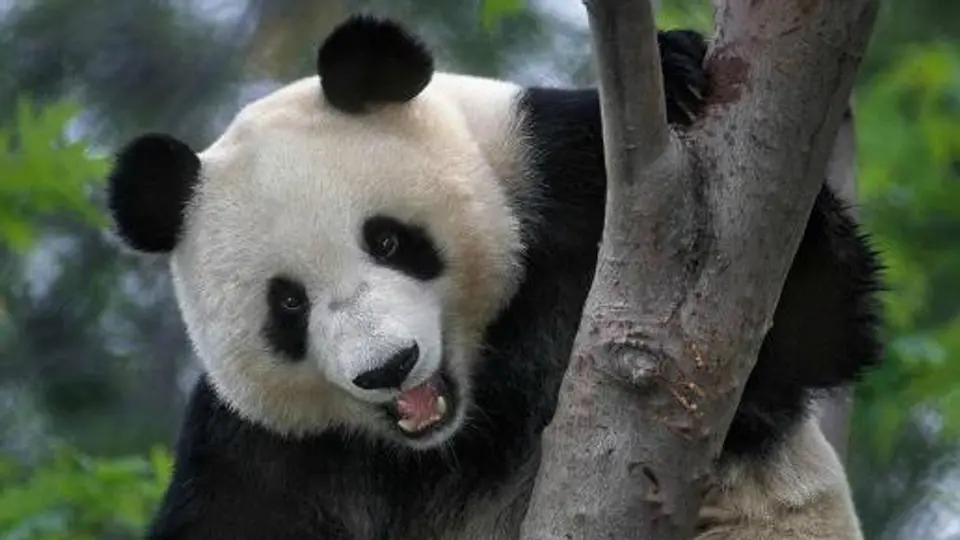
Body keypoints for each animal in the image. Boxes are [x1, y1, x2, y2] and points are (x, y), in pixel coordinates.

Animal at [104, 14, 883, 540]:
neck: (459, 427)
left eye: (389, 240)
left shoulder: (571, 186)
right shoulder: (261, 446)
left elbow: (814, 334)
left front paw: (677, 68)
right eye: (288, 305)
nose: (389, 367)